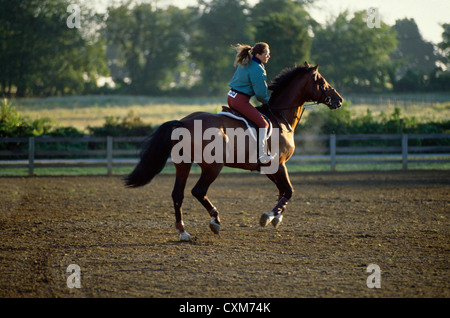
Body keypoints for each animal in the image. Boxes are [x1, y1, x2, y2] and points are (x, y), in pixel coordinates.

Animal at [125, 61, 342, 241]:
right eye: (322, 81)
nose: (339, 100)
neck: (280, 118)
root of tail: (184, 122)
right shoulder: (278, 165)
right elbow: (288, 191)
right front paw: (268, 217)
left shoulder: (268, 168)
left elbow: (283, 191)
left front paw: (277, 217)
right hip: (212, 166)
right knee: (198, 191)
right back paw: (215, 221)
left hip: (183, 164)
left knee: (178, 194)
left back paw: (183, 232)